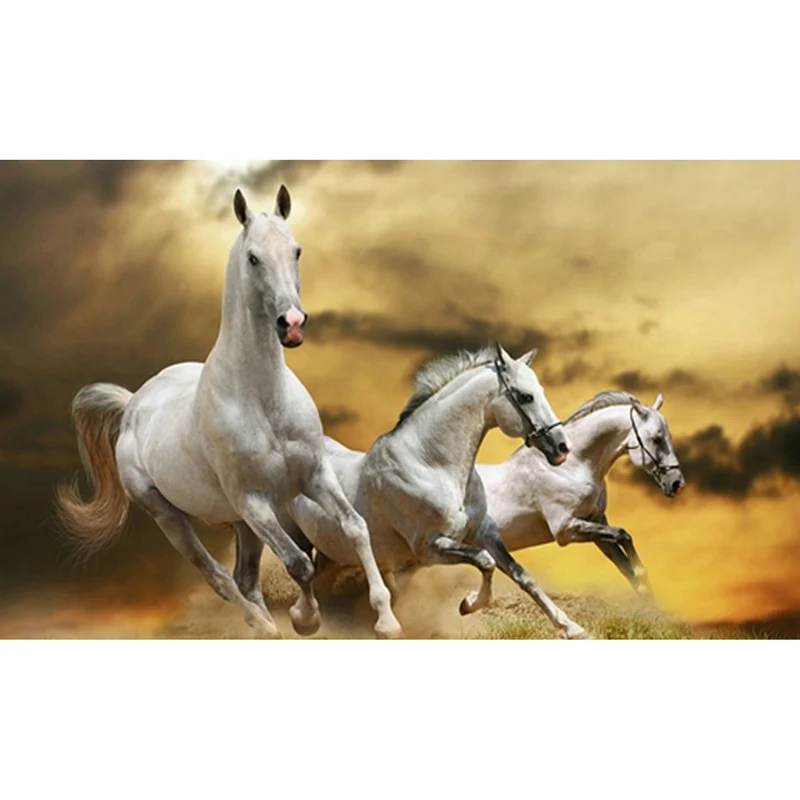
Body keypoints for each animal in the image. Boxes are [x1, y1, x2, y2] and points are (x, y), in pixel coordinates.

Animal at [56, 186, 402, 639]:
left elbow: (355, 527)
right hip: (171, 516)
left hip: (239, 522)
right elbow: (299, 563)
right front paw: (305, 619)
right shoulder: (254, 501)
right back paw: (264, 626)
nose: (292, 323)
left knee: (244, 579)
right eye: (253, 258)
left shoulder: (313, 475)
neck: (264, 402)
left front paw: (386, 619)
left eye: (296, 250)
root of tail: (133, 404)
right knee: (218, 577)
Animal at [284, 343, 589, 639]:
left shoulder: (483, 532)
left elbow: (520, 574)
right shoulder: (430, 547)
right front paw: (468, 604)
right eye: (525, 397)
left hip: (330, 550)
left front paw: (571, 627)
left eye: (541, 392)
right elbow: (485, 561)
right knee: (301, 571)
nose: (562, 447)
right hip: (296, 535)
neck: (432, 465)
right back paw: (305, 620)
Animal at [477, 391, 686, 596]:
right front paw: (642, 575)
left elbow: (625, 566)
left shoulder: (596, 521)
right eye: (657, 438)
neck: (570, 467)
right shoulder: (565, 529)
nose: (677, 483)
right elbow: (623, 535)